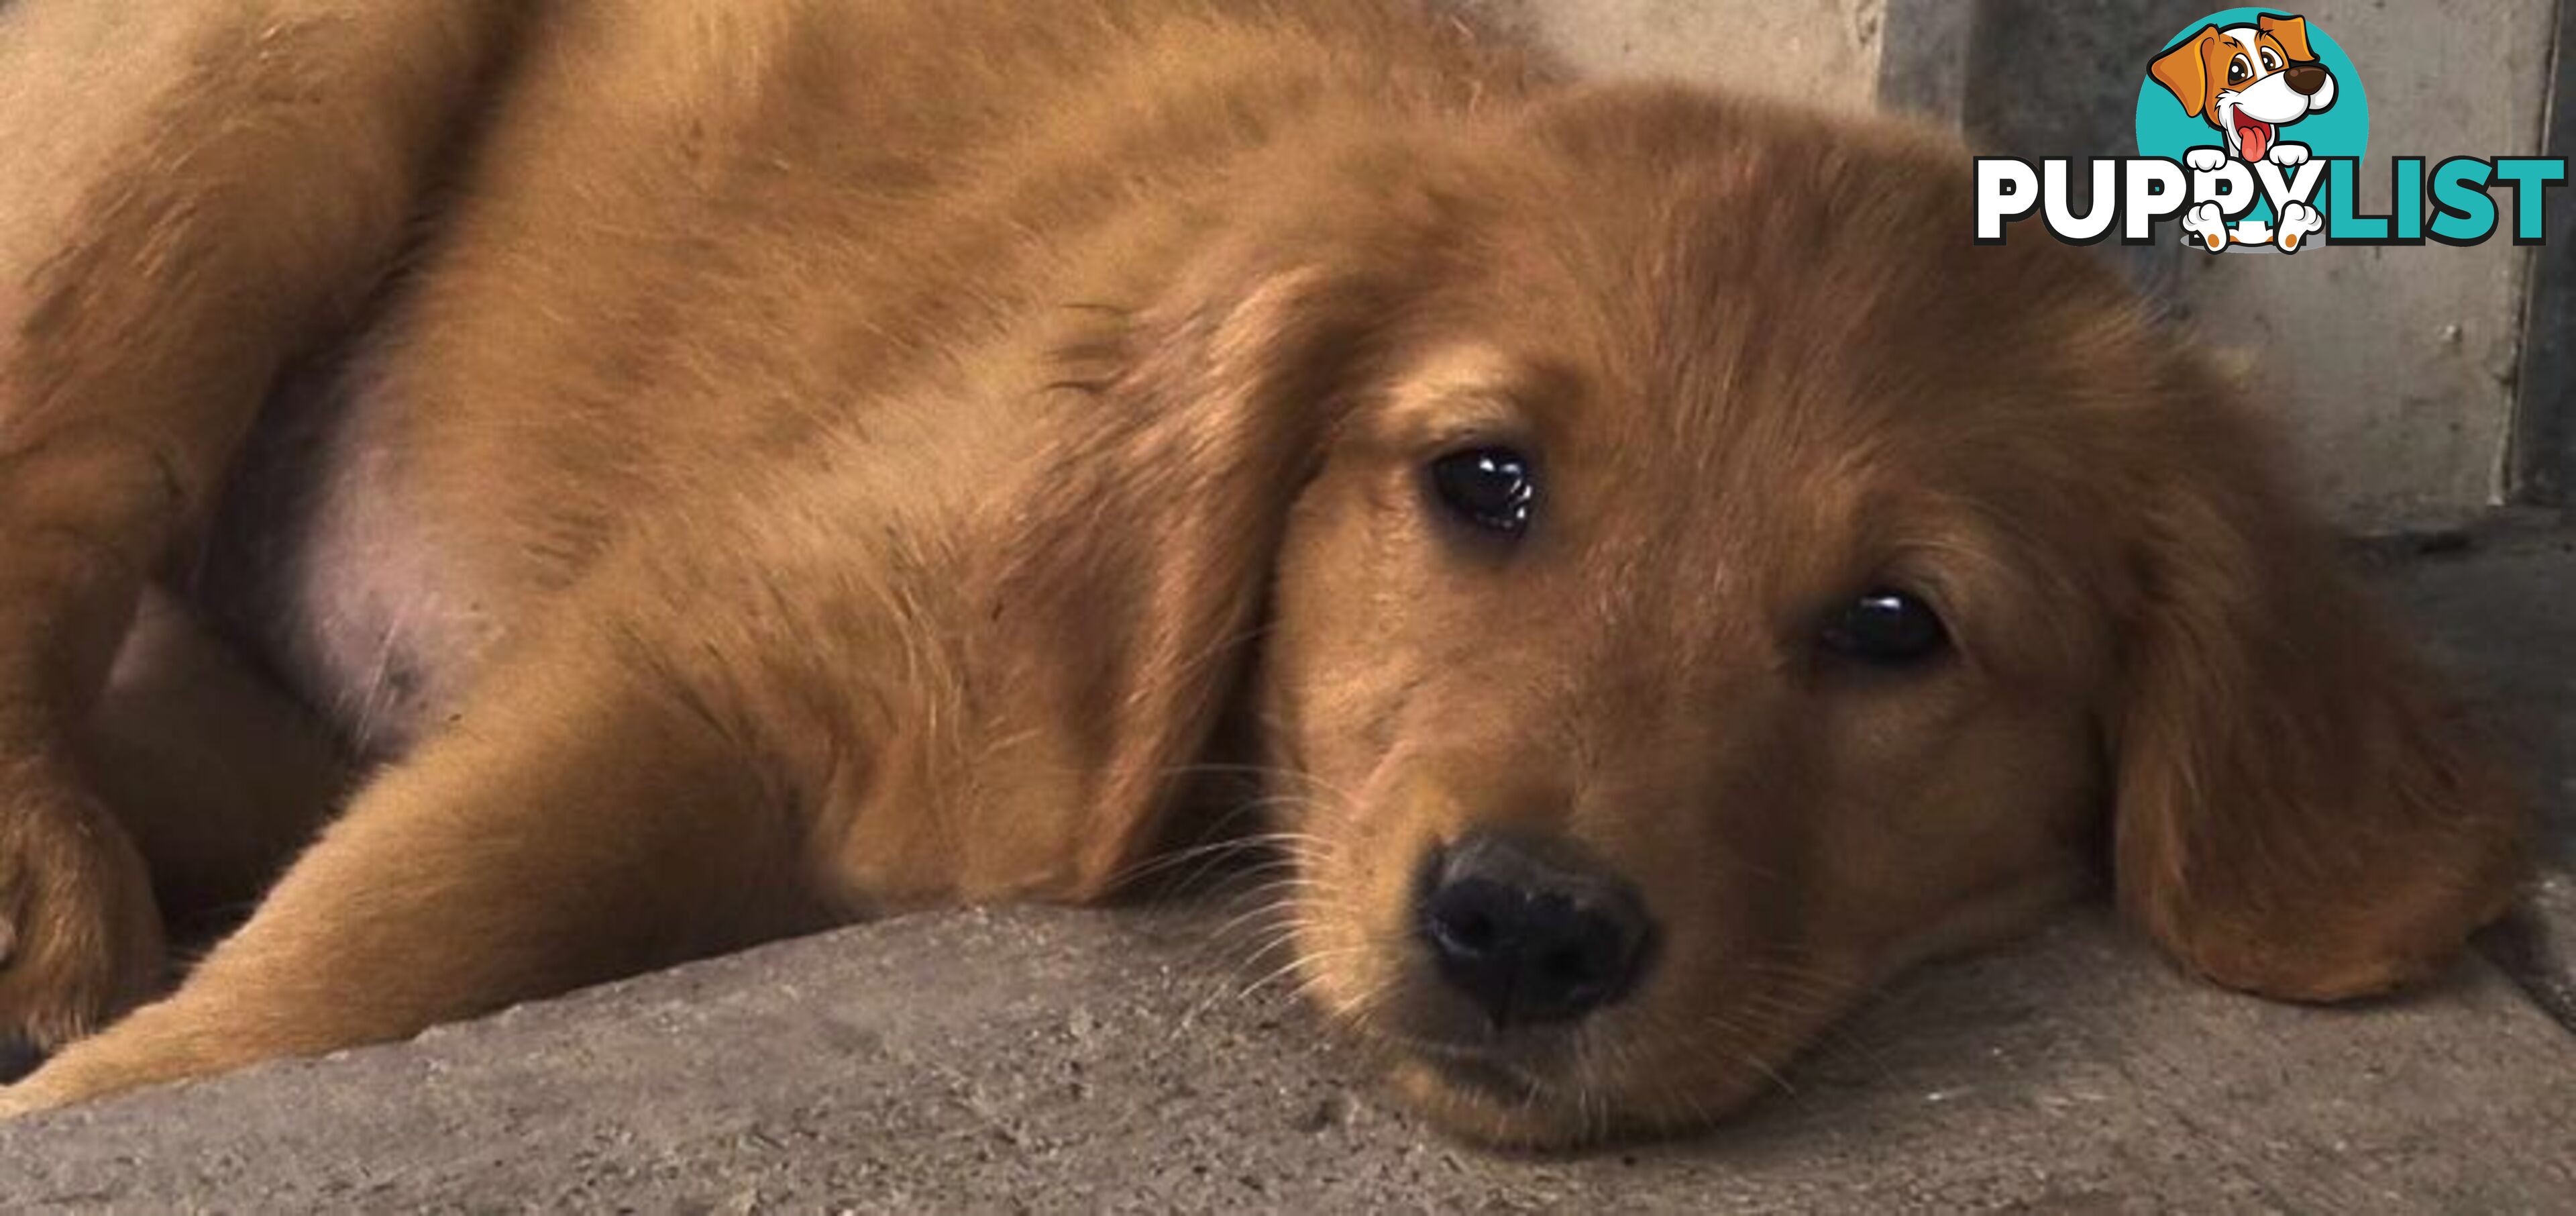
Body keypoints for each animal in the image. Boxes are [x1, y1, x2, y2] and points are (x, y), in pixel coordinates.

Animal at [0, 0, 2534, 1144]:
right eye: (1482, 482)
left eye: (1894, 631)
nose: (1523, 928)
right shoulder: (708, 645)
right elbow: (345, 969)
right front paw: (99, 1103)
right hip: (250, 96)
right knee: (64, 463)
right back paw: (45, 899)